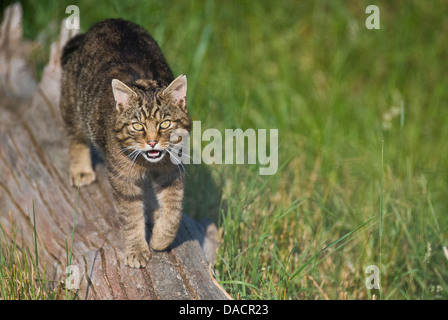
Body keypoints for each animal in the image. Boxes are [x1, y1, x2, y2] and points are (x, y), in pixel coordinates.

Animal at [60, 19, 191, 268]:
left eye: (165, 123)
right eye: (137, 126)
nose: (152, 142)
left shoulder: (172, 173)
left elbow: (174, 211)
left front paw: (160, 238)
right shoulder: (123, 181)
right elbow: (131, 218)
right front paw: (137, 249)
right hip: (73, 108)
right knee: (74, 137)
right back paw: (80, 170)